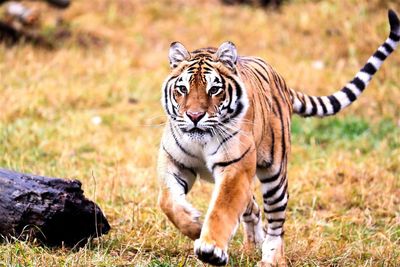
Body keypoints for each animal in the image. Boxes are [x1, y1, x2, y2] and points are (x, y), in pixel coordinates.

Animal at [157, 9, 400, 266]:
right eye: (182, 89)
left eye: (214, 89)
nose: (194, 116)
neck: (200, 140)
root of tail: (280, 79)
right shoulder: (173, 162)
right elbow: (167, 200)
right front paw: (194, 225)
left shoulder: (235, 168)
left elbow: (222, 209)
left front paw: (210, 248)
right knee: (252, 208)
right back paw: (252, 247)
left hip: (275, 176)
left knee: (276, 223)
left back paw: (270, 258)